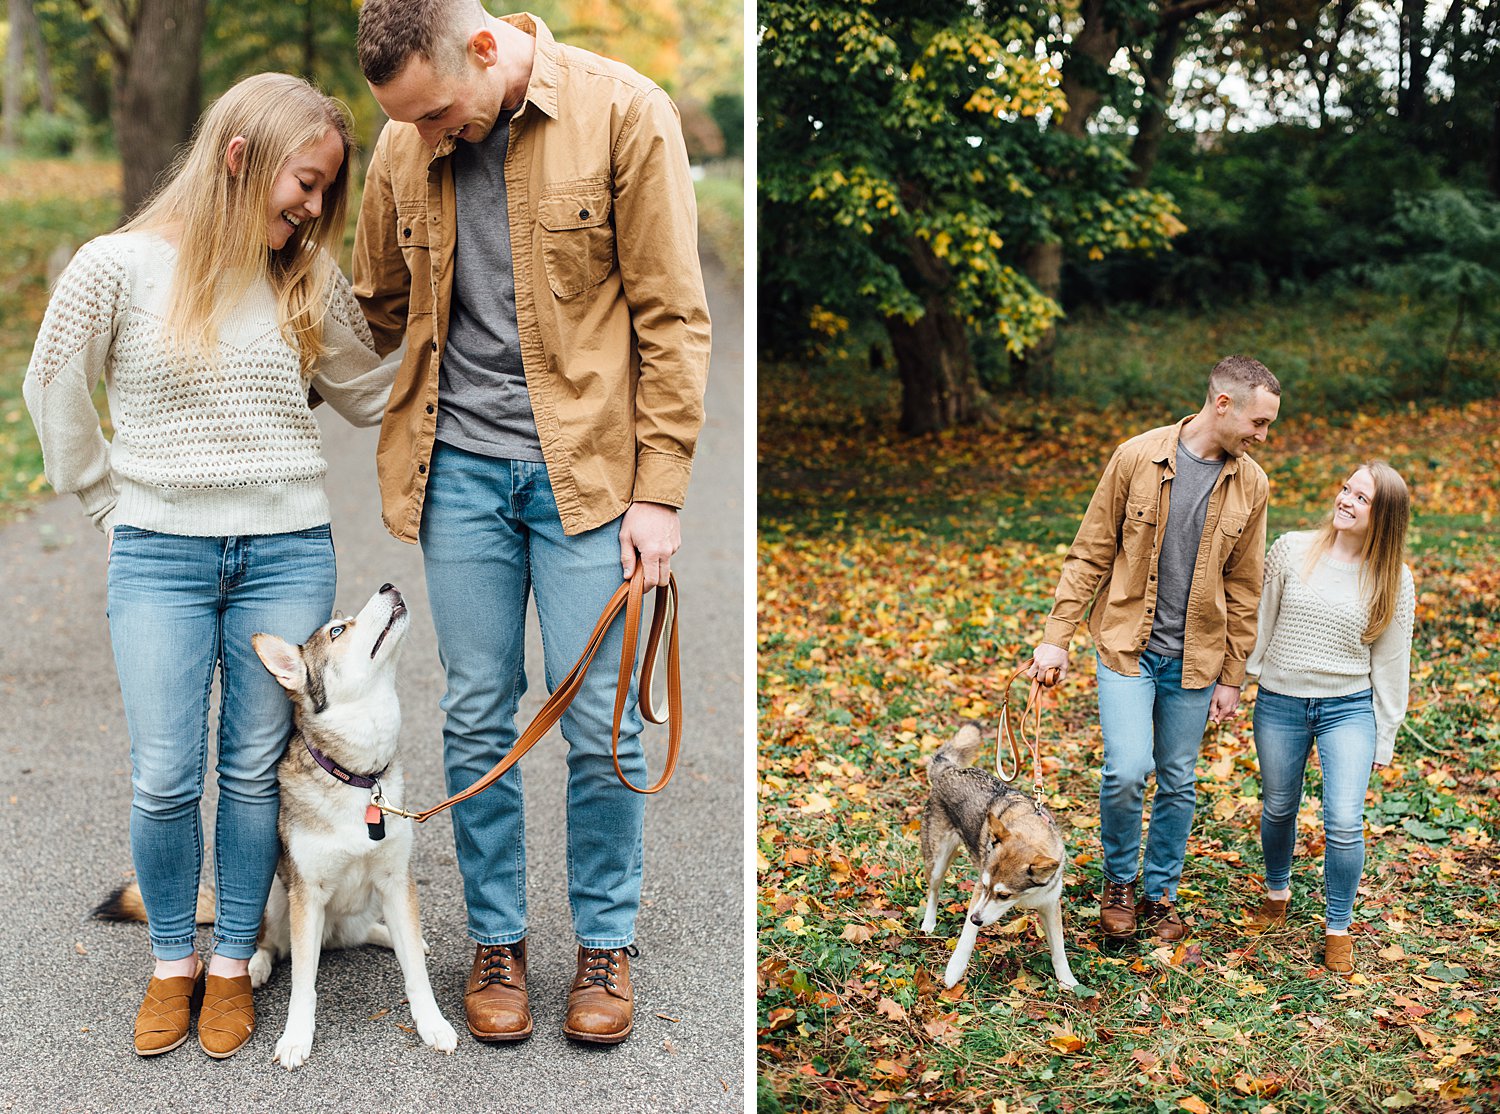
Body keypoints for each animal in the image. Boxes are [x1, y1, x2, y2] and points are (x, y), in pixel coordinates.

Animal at [912, 728, 1080, 989]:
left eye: (1004, 896)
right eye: (986, 886)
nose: (975, 918)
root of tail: (949, 770)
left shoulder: (1050, 905)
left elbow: (1059, 949)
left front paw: (1068, 981)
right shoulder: (978, 893)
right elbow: (967, 938)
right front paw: (954, 970)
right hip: (938, 862)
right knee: (933, 891)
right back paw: (928, 924)